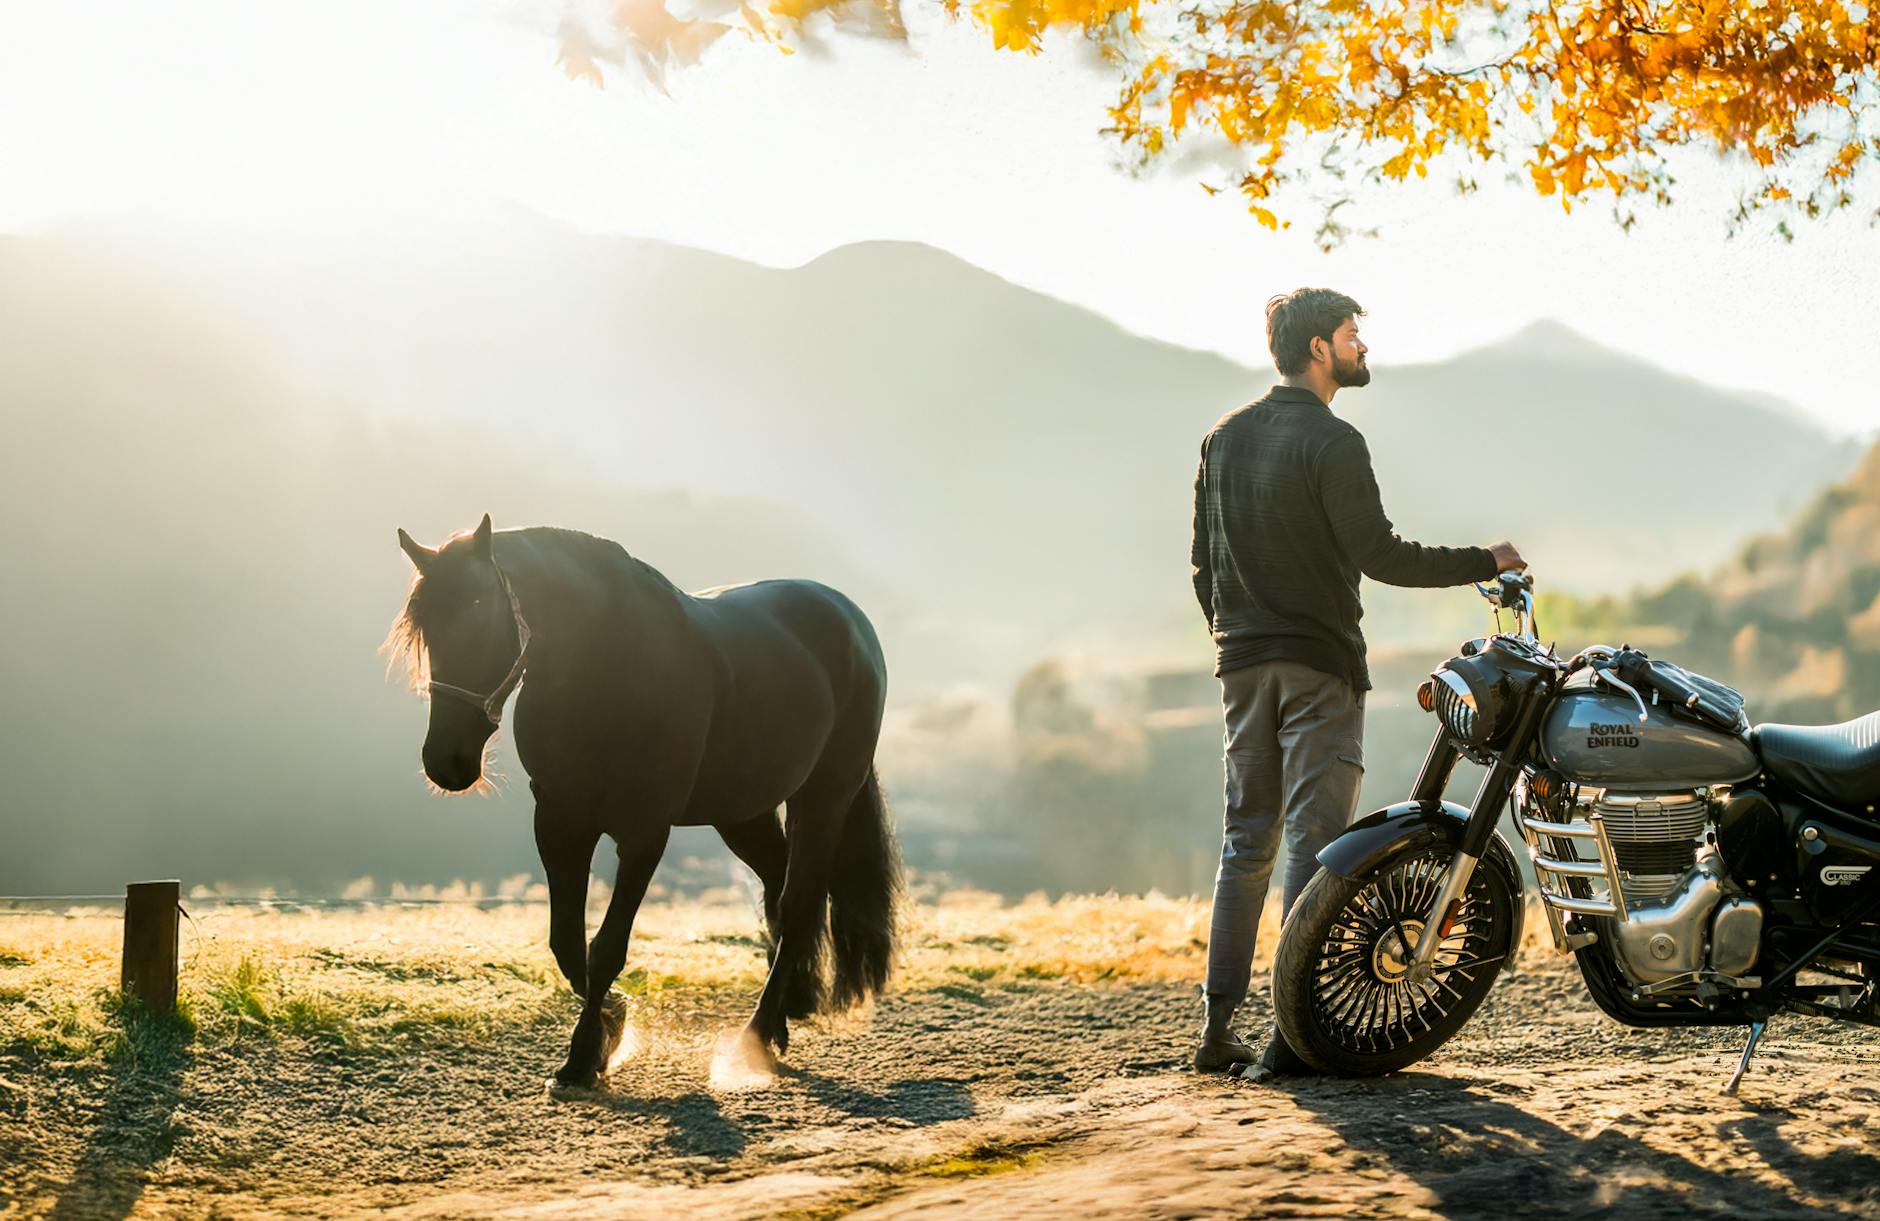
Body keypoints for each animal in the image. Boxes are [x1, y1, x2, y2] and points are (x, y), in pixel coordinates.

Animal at [383, 515, 900, 1087]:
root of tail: (848, 618)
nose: (446, 761)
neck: (612, 670)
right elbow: (567, 942)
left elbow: (606, 948)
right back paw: (789, 1010)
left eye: (480, 615)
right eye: (424, 630)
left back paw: (759, 1033)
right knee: (777, 887)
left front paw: (586, 1052)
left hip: (824, 797)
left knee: (800, 900)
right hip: (742, 813)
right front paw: (612, 1020)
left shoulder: (644, 832)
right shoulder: (561, 822)